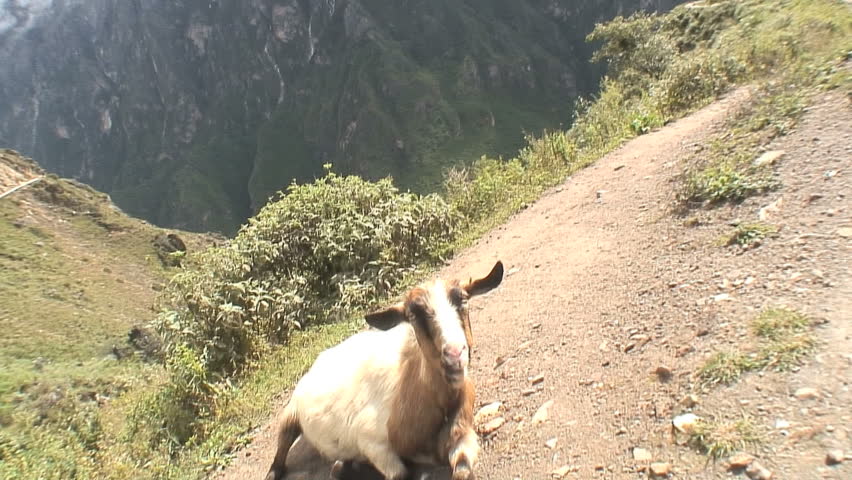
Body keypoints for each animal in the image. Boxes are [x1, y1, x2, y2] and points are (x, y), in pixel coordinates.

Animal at [265, 261, 504, 480]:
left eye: (463, 300)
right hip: (290, 412)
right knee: (282, 445)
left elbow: (462, 469)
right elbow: (399, 473)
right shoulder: (373, 443)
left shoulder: (462, 433)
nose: (454, 354)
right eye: (413, 316)